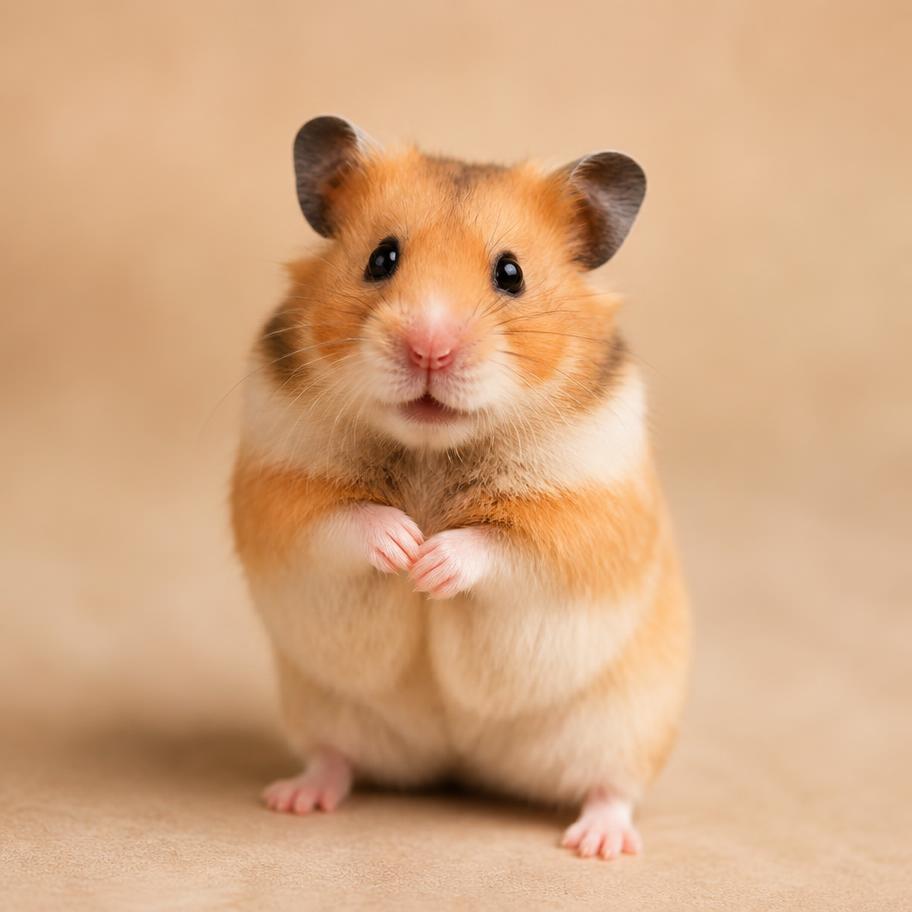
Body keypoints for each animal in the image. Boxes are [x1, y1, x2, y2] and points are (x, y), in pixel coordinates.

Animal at [230, 115, 690, 860]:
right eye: (381, 258)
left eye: (511, 274)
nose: (429, 348)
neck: (431, 449)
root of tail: (461, 764)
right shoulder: (278, 490)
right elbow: (341, 520)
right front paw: (403, 546)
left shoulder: (580, 518)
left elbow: (498, 548)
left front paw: (430, 562)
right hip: (320, 707)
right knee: (335, 758)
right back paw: (294, 798)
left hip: (628, 723)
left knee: (612, 787)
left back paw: (598, 842)